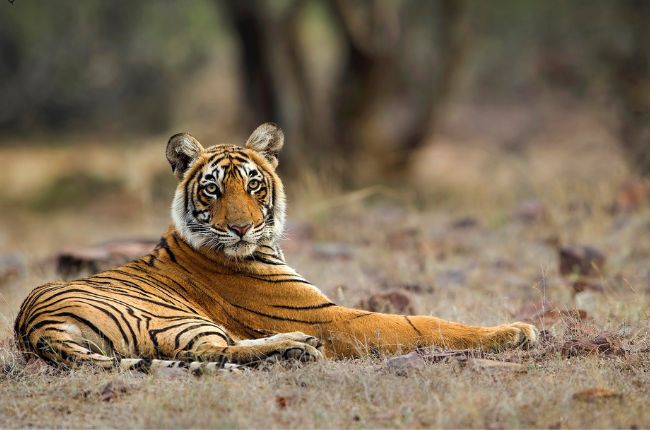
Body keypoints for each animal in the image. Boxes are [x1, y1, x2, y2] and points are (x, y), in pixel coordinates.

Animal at [15, 122, 536, 372]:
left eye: (253, 184)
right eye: (212, 190)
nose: (242, 228)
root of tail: (33, 327)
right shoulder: (330, 317)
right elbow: (422, 323)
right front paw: (516, 330)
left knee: (220, 350)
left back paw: (296, 349)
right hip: (173, 318)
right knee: (214, 353)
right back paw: (298, 347)